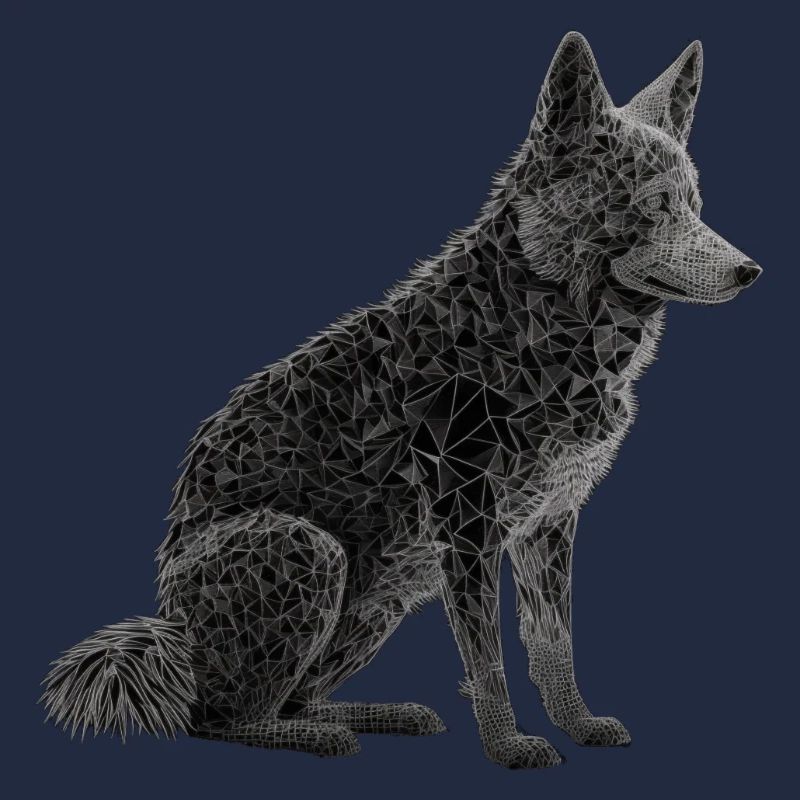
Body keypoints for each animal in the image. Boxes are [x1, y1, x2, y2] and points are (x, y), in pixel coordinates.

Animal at [42, 32, 761, 769]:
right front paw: (509, 745)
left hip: (384, 594)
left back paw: (377, 713)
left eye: (695, 204)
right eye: (656, 205)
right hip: (310, 550)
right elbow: (487, 656)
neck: (537, 322)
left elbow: (553, 642)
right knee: (219, 717)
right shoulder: (468, 525)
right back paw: (316, 736)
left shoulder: (549, 521)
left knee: (282, 698)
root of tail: (171, 636)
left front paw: (577, 724)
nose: (751, 271)